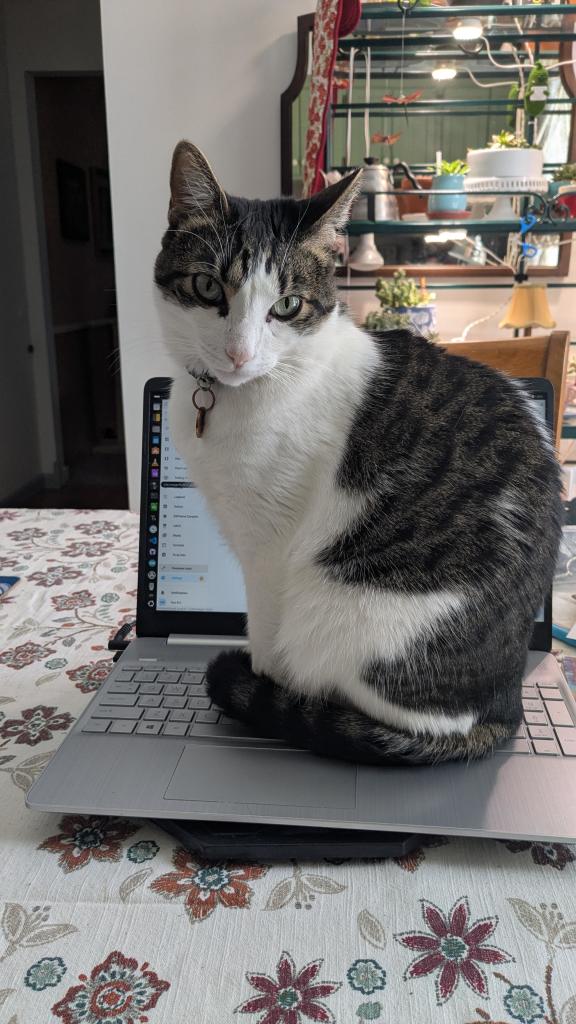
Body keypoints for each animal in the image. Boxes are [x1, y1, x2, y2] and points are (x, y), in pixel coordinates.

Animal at [152, 142, 561, 770]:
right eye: (206, 287)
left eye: (287, 305)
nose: (239, 353)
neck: (240, 398)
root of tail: (502, 707)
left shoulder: (270, 548)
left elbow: (265, 628)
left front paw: (262, 679)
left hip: (351, 614)